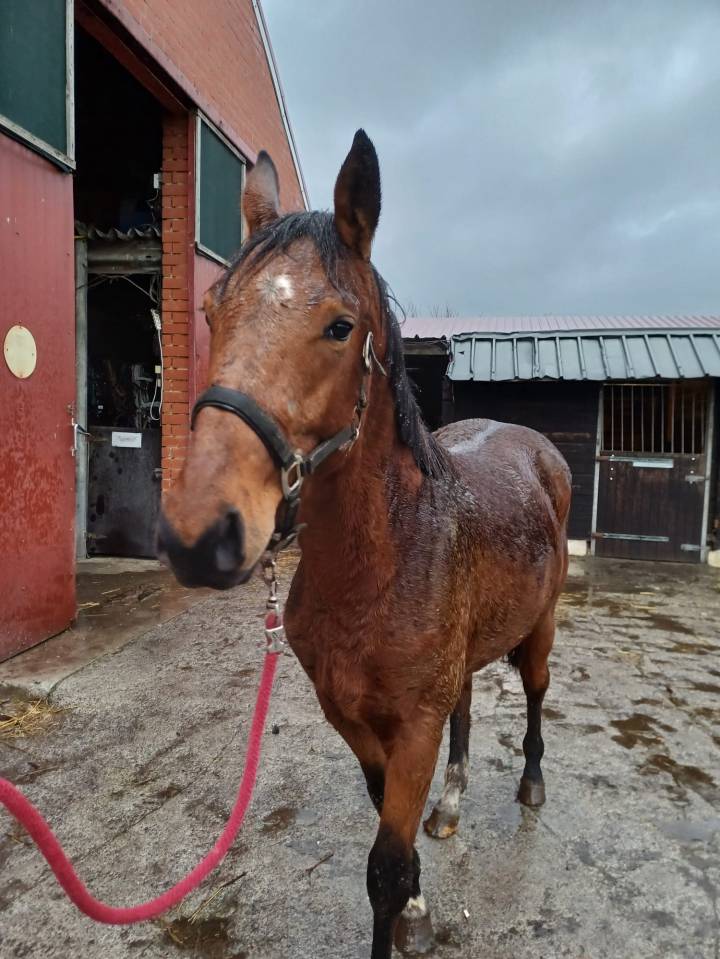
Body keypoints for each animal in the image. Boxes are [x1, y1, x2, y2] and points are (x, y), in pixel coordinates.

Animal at [157, 130, 571, 958]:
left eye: (340, 326)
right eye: (213, 310)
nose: (200, 534)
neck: (380, 562)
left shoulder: (411, 727)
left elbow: (383, 865)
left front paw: (405, 908)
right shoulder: (352, 719)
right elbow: (393, 838)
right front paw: (416, 901)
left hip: (540, 627)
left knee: (537, 693)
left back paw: (531, 783)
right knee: (467, 712)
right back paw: (452, 802)